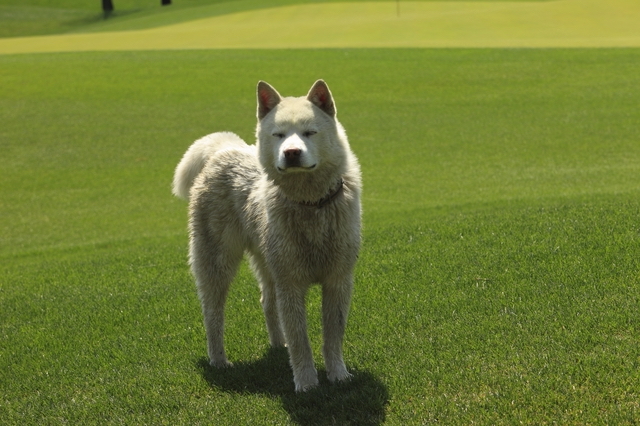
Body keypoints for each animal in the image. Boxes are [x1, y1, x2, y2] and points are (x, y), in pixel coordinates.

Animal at [171, 80, 360, 392]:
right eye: (278, 135)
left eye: (309, 132)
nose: (291, 152)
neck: (310, 205)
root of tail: (224, 149)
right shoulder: (291, 285)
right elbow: (300, 340)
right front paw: (306, 383)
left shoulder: (338, 280)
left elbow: (333, 337)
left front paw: (338, 376)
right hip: (216, 262)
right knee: (212, 313)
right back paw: (219, 361)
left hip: (267, 261)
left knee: (267, 301)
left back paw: (277, 345)